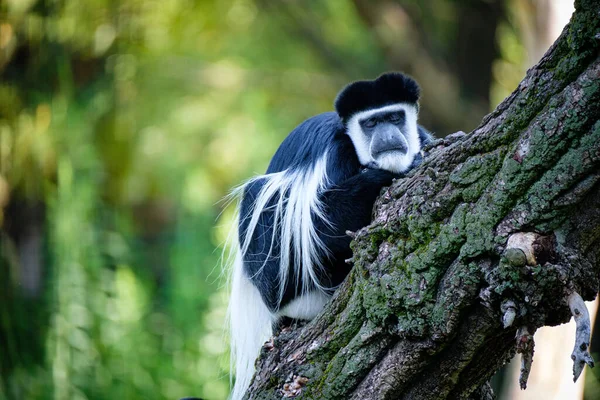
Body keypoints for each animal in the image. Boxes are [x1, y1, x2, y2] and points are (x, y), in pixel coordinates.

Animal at [229, 72, 432, 400]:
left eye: (394, 117)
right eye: (371, 123)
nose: (387, 136)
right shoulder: (335, 154)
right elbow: (323, 220)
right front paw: (389, 174)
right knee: (261, 197)